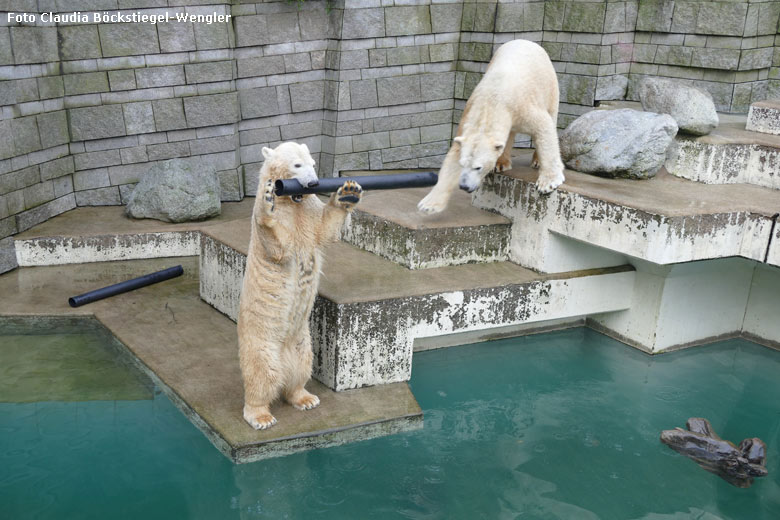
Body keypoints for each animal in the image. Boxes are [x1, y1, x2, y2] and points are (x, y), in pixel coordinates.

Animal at [238, 142, 362, 430]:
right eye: (297, 164)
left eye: (313, 164)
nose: (314, 182)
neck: (292, 202)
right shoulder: (282, 222)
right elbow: (279, 247)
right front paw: (267, 201)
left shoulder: (307, 210)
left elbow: (325, 229)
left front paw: (348, 192)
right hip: (262, 342)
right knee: (262, 373)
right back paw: (260, 416)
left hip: (302, 341)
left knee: (301, 368)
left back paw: (305, 397)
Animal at [418, 38, 564, 213]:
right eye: (463, 164)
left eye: (478, 167)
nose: (464, 186)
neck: (492, 100)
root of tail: (525, 40)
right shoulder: (468, 116)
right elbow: (454, 154)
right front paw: (428, 205)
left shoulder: (522, 107)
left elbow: (543, 126)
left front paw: (548, 183)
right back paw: (501, 163)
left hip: (548, 84)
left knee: (552, 115)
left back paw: (536, 161)